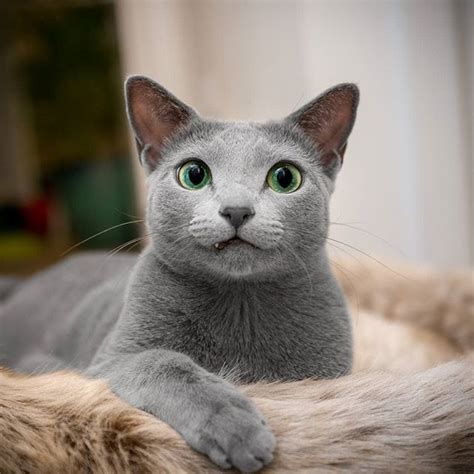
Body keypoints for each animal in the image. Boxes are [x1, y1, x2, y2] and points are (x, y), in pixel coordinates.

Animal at [0, 76, 358, 472]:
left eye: (284, 177)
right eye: (194, 174)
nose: (236, 210)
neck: (240, 308)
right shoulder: (104, 363)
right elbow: (163, 360)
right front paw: (236, 427)